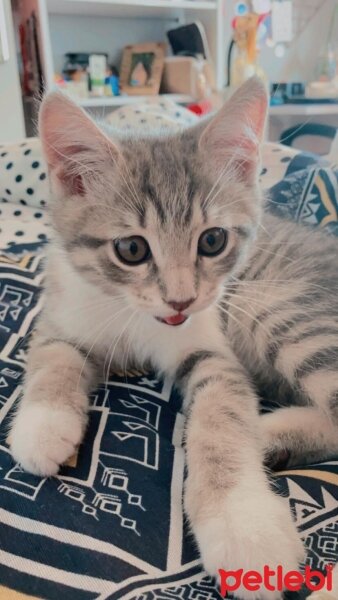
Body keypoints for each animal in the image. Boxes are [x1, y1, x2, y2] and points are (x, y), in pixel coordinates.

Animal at [9, 78, 336, 600]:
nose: (181, 301)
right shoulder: (63, 308)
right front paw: (43, 426)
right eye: (131, 249)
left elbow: (221, 419)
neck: (137, 318)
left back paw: (266, 430)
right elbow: (54, 357)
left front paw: (242, 525)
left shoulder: (212, 347)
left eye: (213, 241)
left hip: (282, 308)